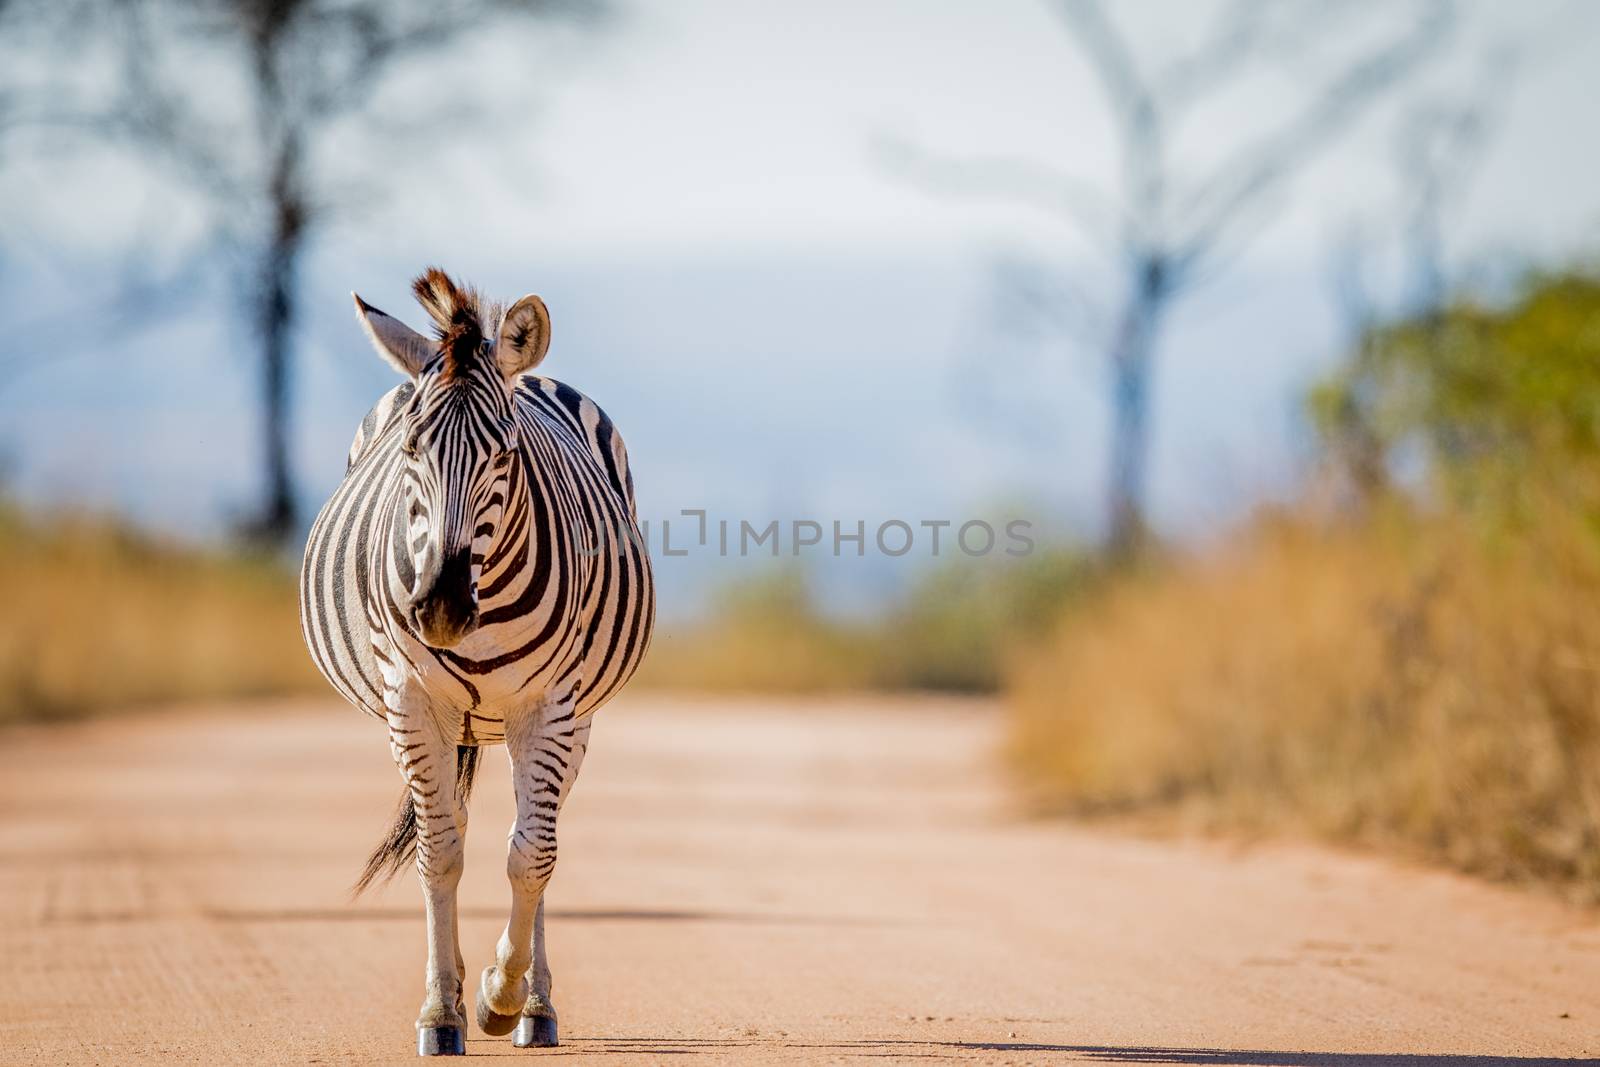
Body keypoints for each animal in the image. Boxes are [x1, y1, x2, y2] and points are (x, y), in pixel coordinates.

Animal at [297, 268, 652, 1062]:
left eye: (505, 454)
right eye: (411, 450)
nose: (440, 607)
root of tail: (536, 373)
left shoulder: (550, 706)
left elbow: (532, 855)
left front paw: (501, 994)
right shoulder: (409, 697)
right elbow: (439, 853)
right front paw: (442, 1009)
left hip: (571, 720)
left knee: (536, 833)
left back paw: (534, 1005)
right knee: (450, 827)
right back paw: (457, 985)